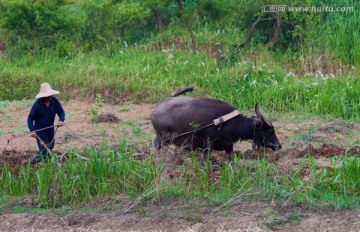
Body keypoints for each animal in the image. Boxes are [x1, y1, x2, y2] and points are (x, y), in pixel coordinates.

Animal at [150, 88, 282, 159]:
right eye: (271, 131)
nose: (279, 146)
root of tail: (158, 105)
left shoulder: (228, 146)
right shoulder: (208, 147)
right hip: (163, 138)